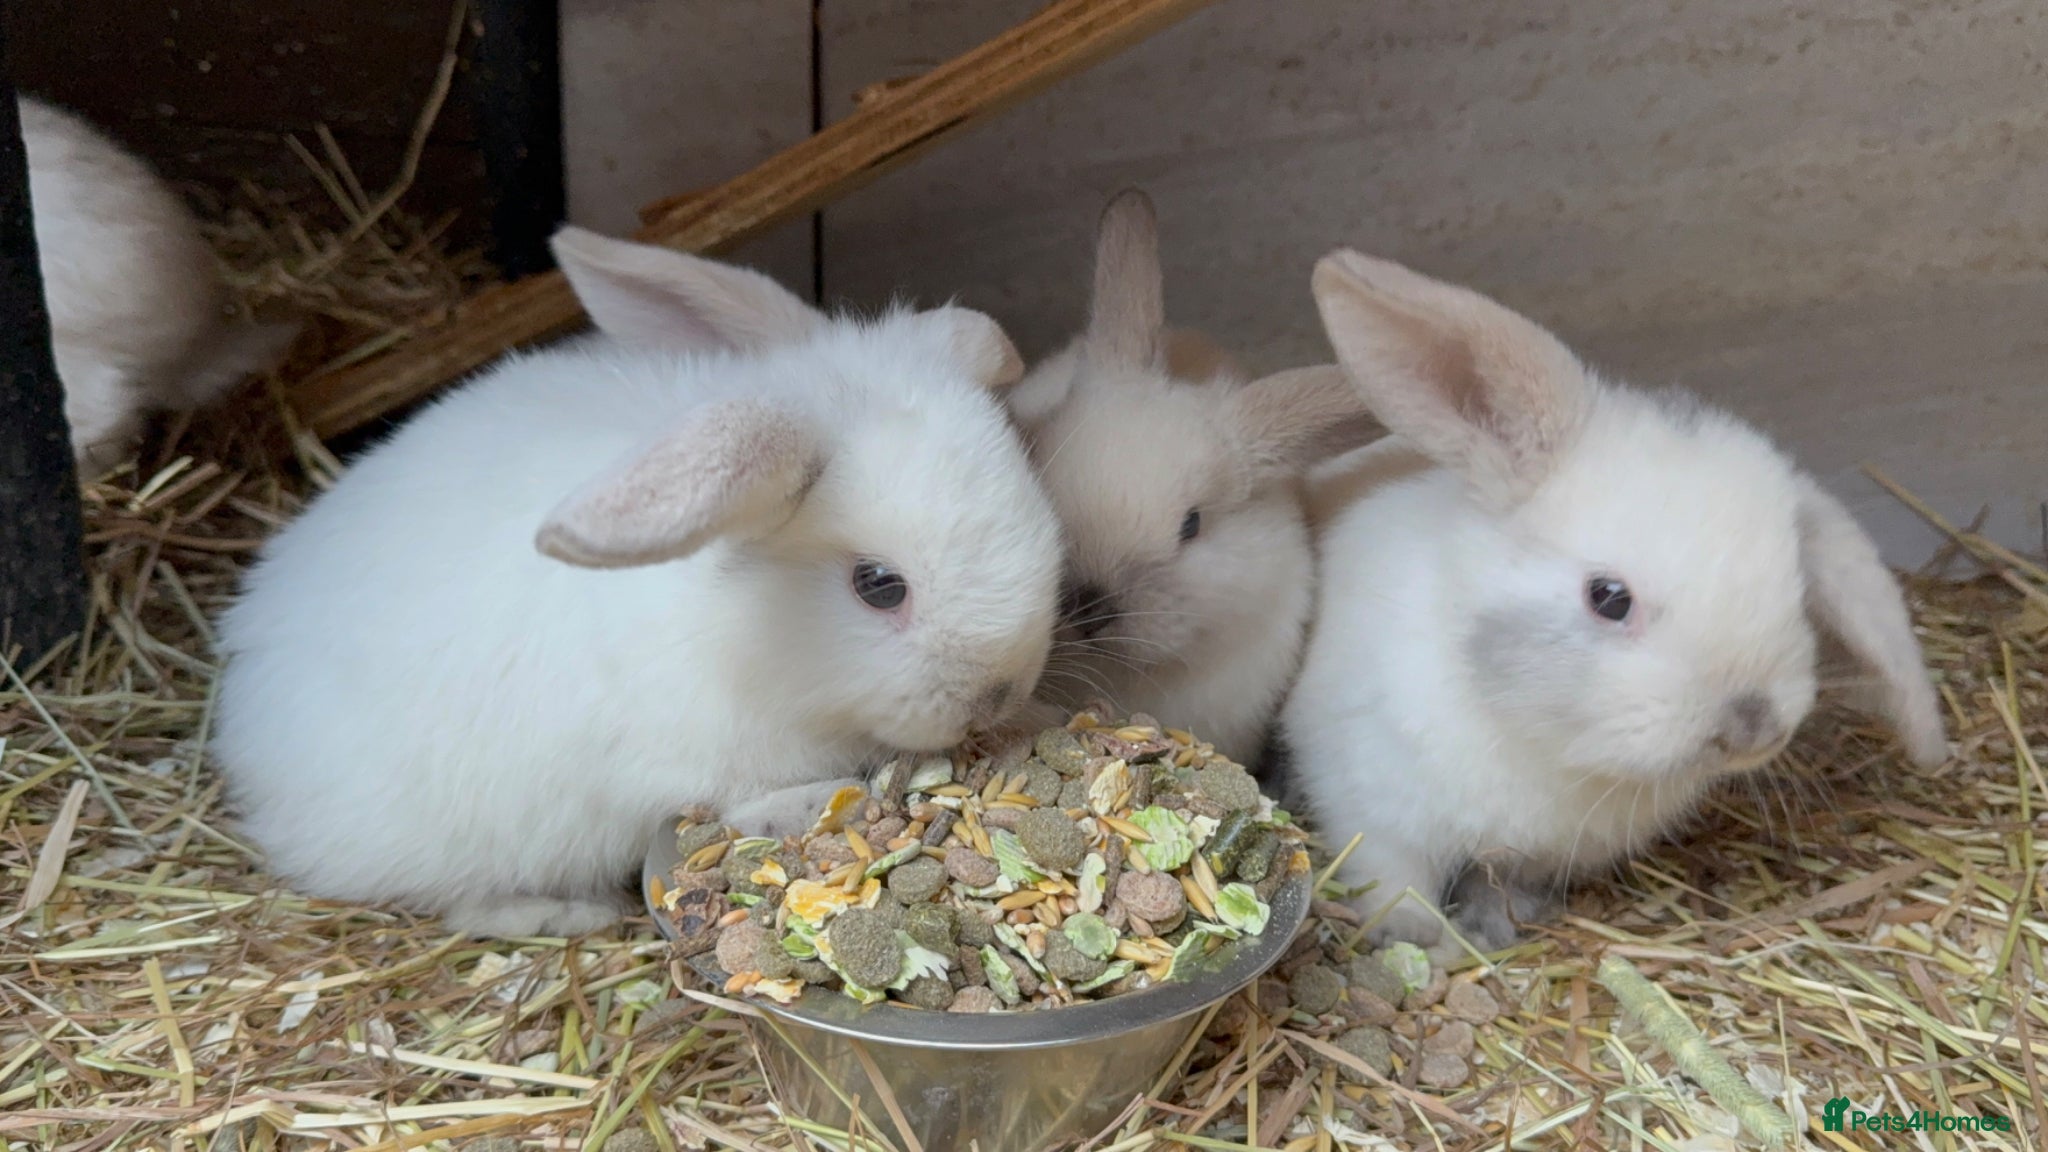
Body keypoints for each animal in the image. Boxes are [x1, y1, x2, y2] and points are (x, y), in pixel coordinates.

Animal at [211, 225, 1065, 939]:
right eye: (878, 584)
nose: (999, 694)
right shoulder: (675, 755)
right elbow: (731, 796)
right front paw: (808, 804)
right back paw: (565, 913)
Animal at [1277, 248, 1948, 958]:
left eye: (1797, 586)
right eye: (1609, 598)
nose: (1752, 728)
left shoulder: (1531, 857)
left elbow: (1498, 885)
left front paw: (1495, 925)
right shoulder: (1369, 801)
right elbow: (1393, 882)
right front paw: (1423, 941)